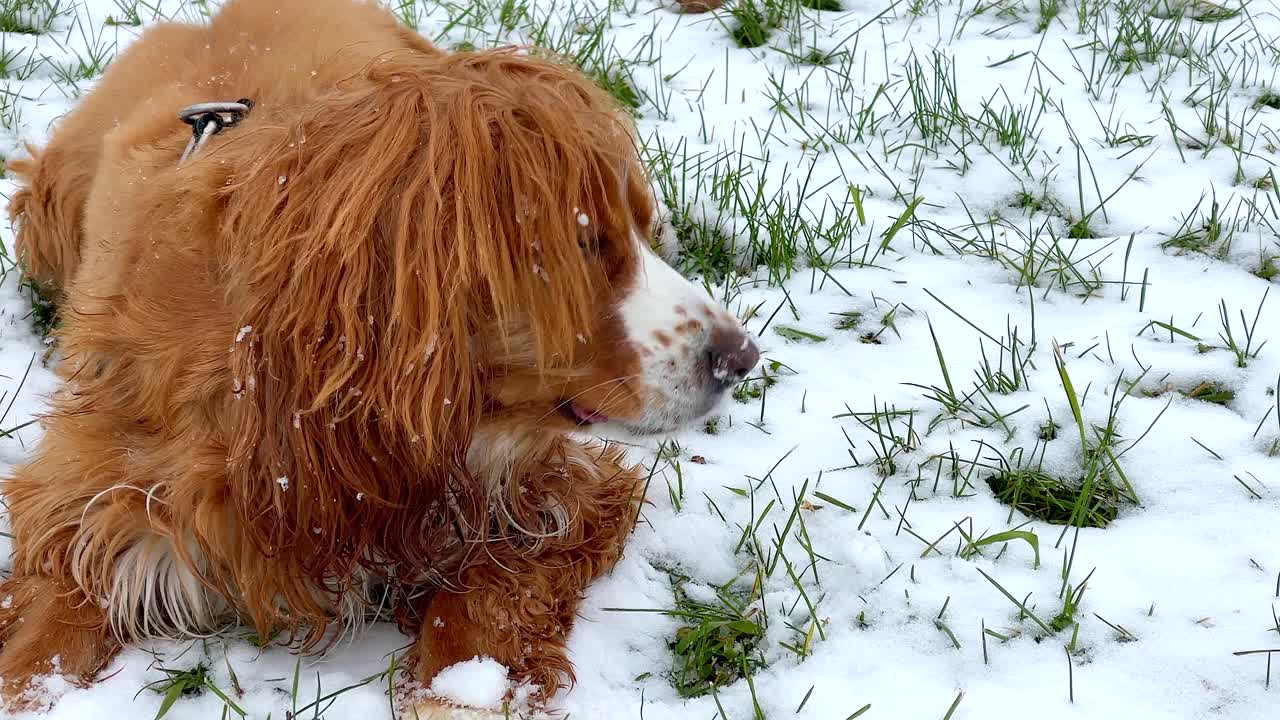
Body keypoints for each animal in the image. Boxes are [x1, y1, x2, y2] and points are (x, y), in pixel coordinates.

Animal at [0, 0, 757, 712]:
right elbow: (36, 647)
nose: (742, 357)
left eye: (630, 228)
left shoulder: (557, 492)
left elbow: (477, 623)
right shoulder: (90, 503)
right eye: (581, 242)